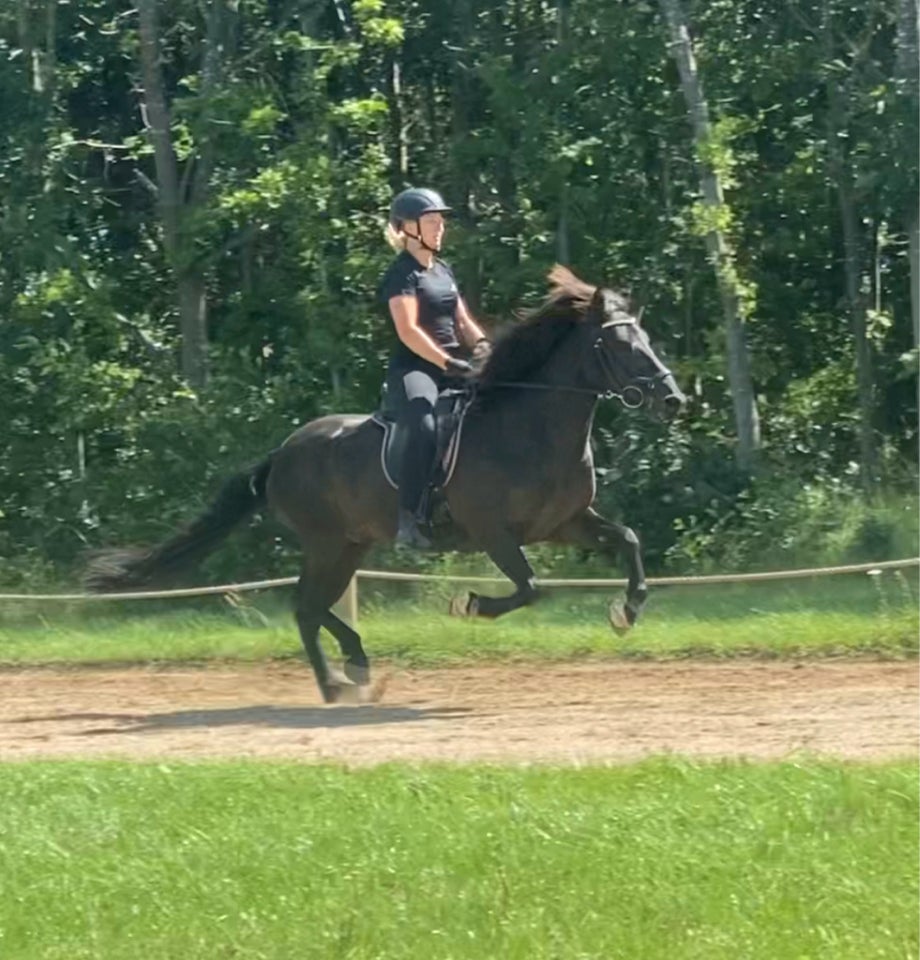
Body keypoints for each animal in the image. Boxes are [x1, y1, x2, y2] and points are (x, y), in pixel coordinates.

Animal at [90, 266, 684, 700]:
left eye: (647, 339)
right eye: (620, 347)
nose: (673, 399)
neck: (529, 426)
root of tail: (282, 453)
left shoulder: (565, 523)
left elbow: (627, 541)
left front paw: (625, 613)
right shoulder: (494, 533)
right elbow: (531, 587)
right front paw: (469, 605)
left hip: (351, 544)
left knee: (312, 607)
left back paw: (353, 665)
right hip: (327, 542)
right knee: (305, 607)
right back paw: (335, 685)